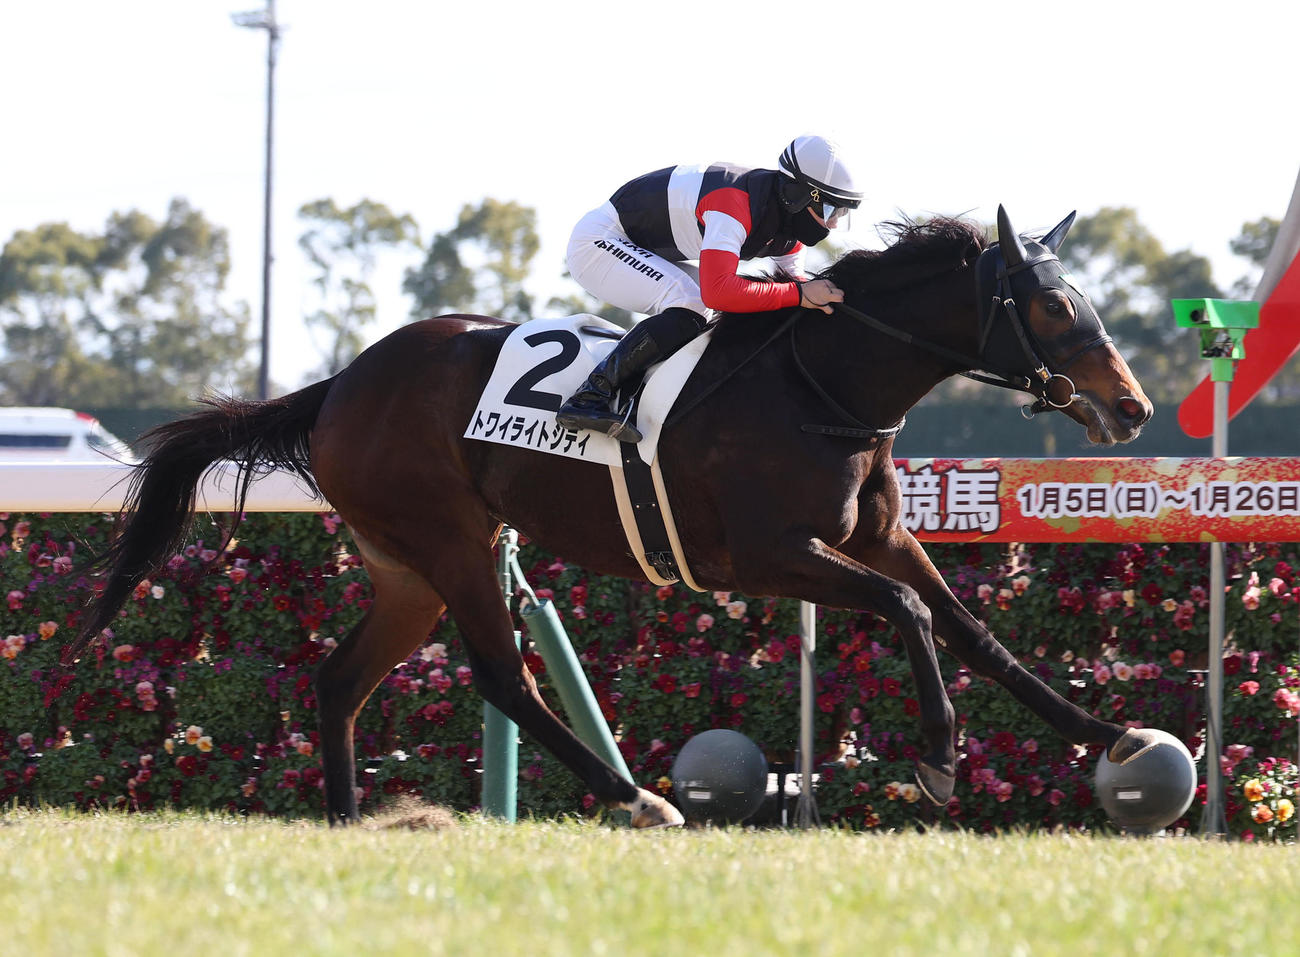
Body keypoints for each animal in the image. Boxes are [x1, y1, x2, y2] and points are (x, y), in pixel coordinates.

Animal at [63, 206, 1154, 827]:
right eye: (1053, 307)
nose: (1133, 406)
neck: (822, 381)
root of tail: (337, 386)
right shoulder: (763, 555)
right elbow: (910, 612)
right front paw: (934, 761)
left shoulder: (873, 536)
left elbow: (970, 629)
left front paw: (1112, 734)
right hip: (453, 541)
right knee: (500, 676)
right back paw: (634, 796)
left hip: (406, 567)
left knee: (339, 679)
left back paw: (343, 819)